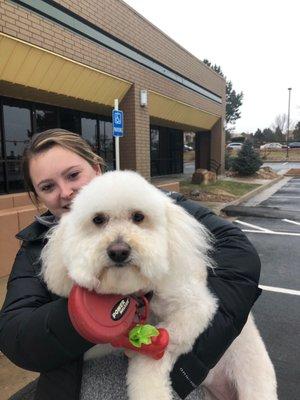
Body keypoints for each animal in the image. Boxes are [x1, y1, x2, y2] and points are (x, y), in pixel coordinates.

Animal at [41, 170, 278, 398]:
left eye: (138, 217)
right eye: (98, 220)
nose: (118, 251)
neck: (142, 296)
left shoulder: (195, 309)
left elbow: (159, 350)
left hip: (254, 380)